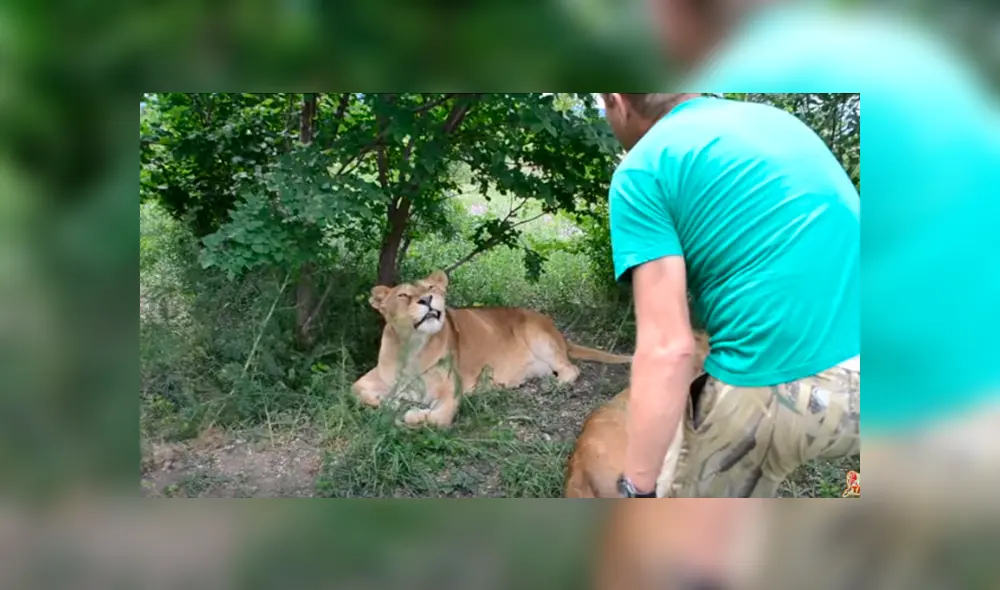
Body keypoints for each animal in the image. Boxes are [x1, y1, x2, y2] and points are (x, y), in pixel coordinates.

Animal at [351, 269, 633, 428]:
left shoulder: (452, 390)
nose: (428, 299)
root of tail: (558, 333)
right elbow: (356, 392)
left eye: (431, 288)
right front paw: (387, 402)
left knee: (570, 369)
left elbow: (438, 419)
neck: (413, 346)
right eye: (402, 295)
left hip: (537, 334)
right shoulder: (371, 378)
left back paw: (552, 385)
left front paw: (412, 415)